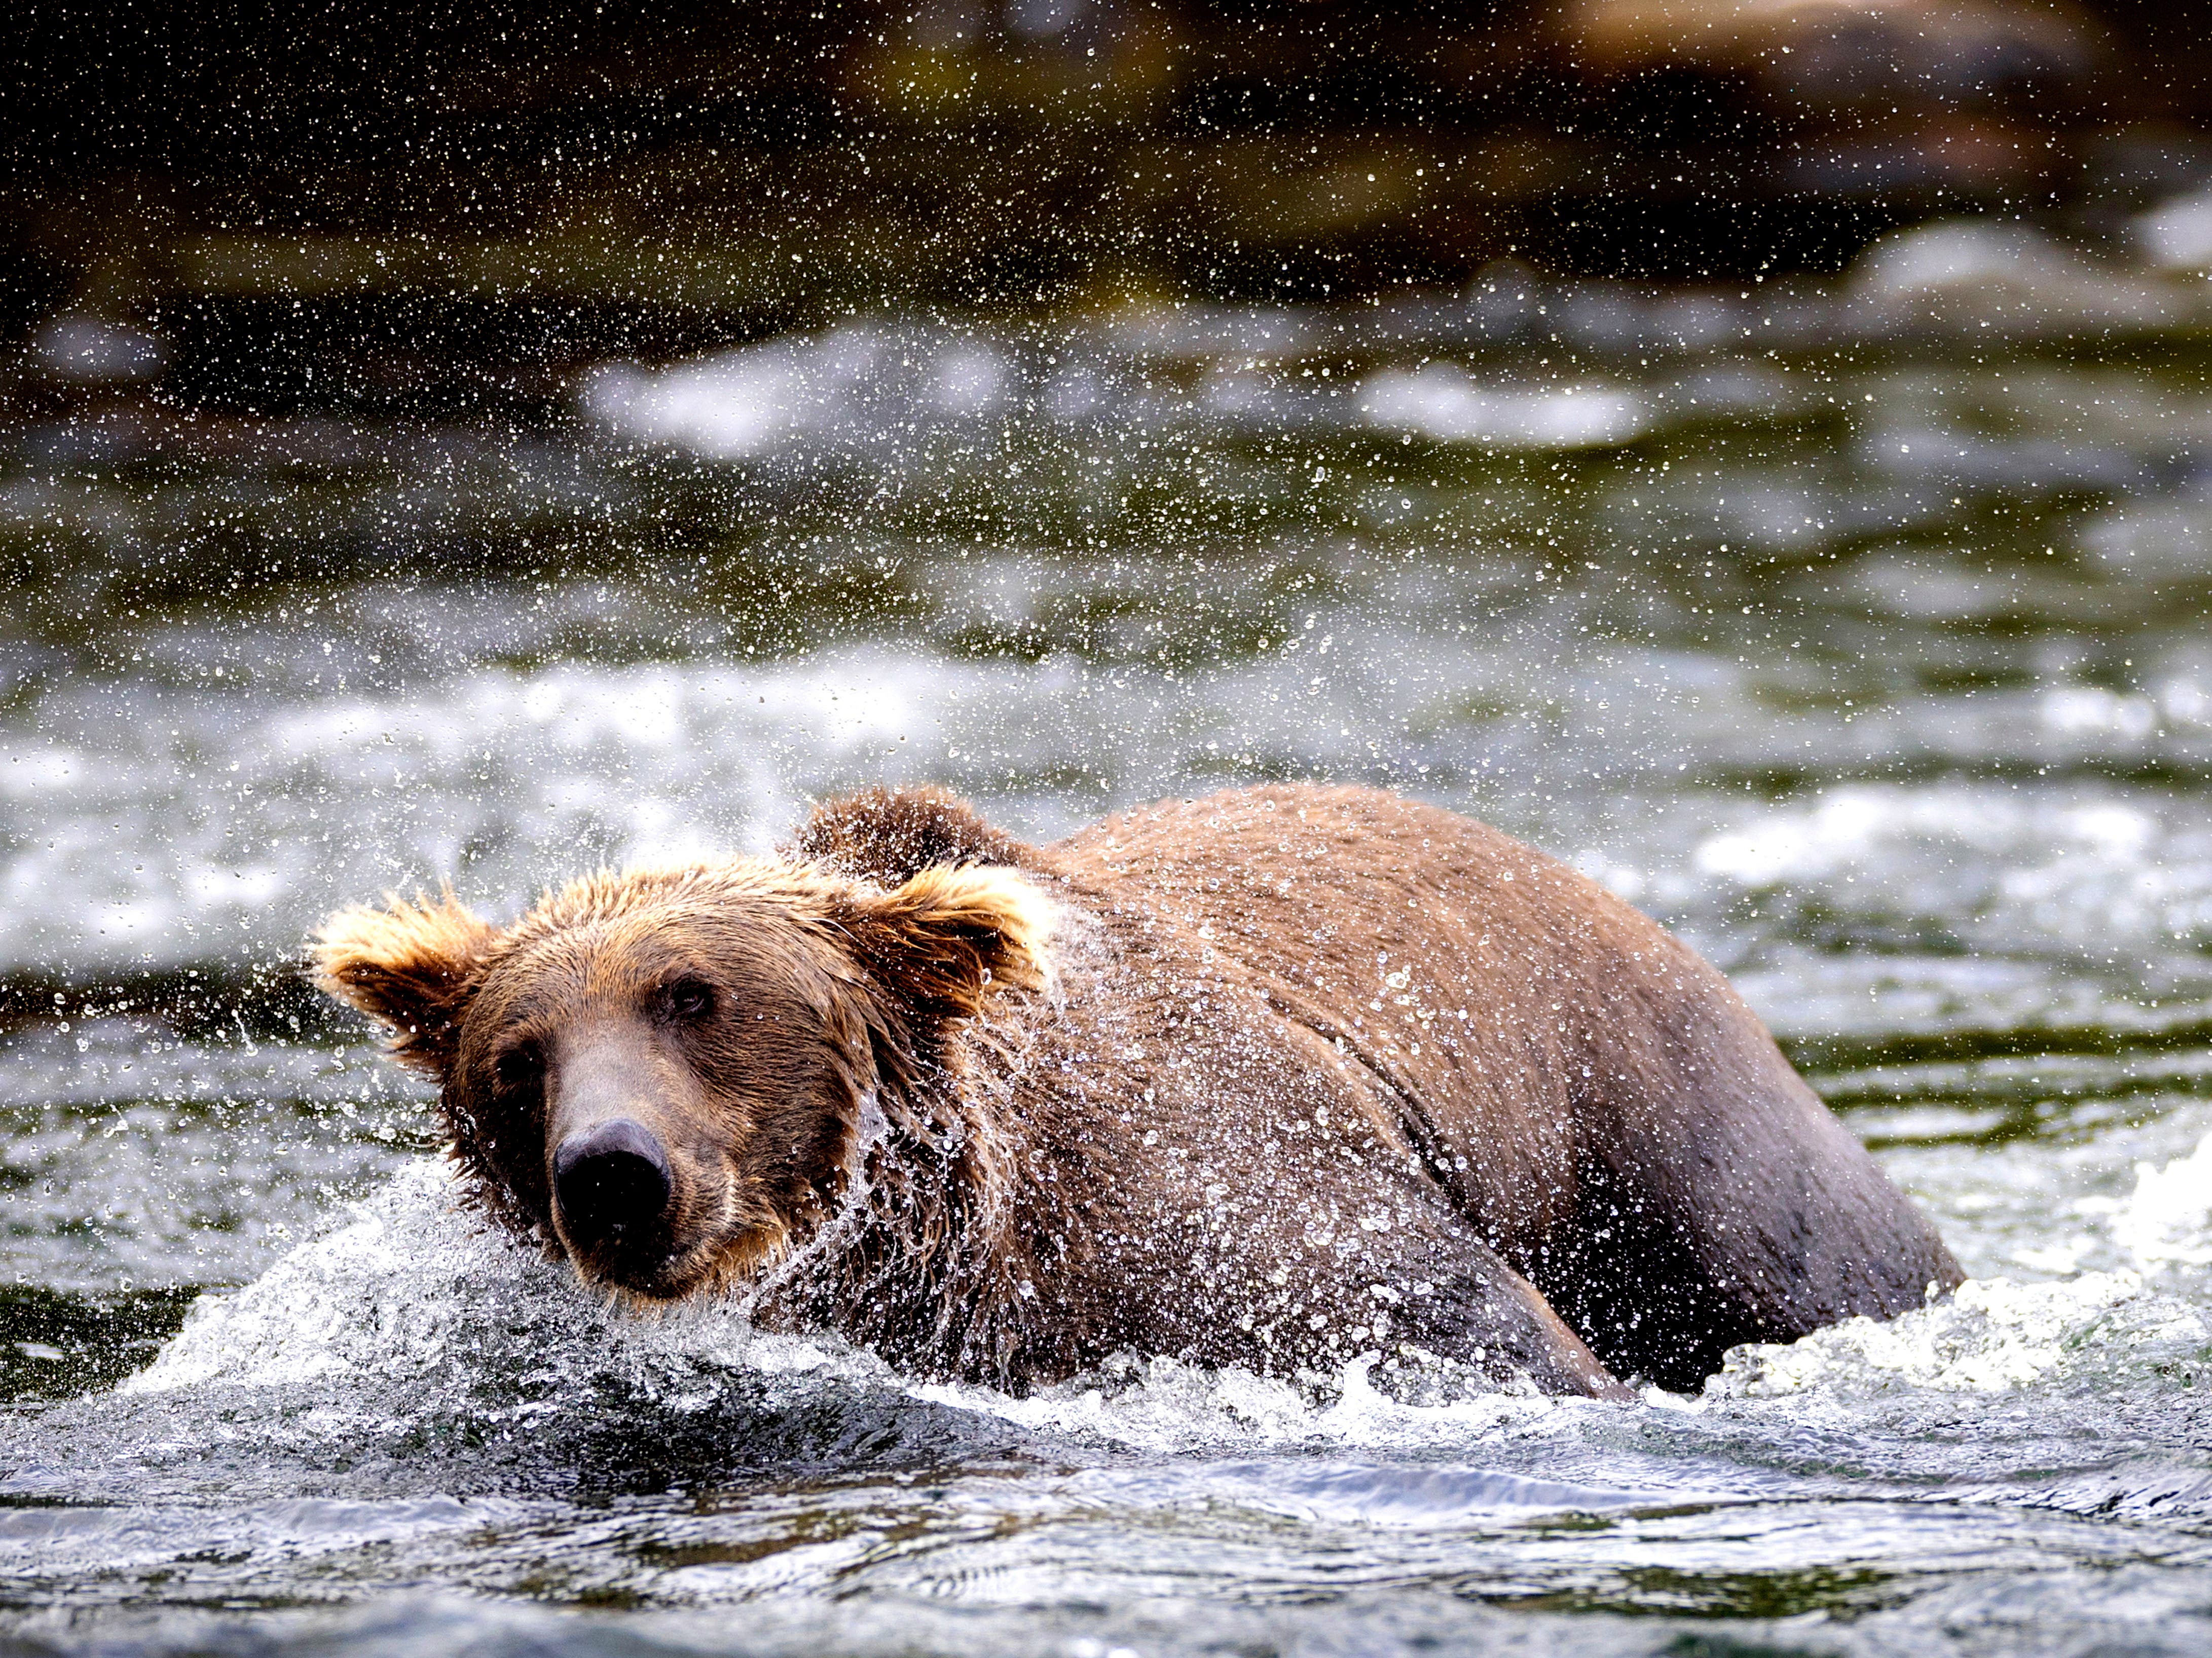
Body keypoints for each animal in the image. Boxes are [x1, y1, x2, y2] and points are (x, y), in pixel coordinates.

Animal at [312, 782, 1961, 1398]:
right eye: (516, 1059)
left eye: (695, 997)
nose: (612, 1168)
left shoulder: (1235, 1223)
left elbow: (1474, 1335)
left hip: (1667, 1126)